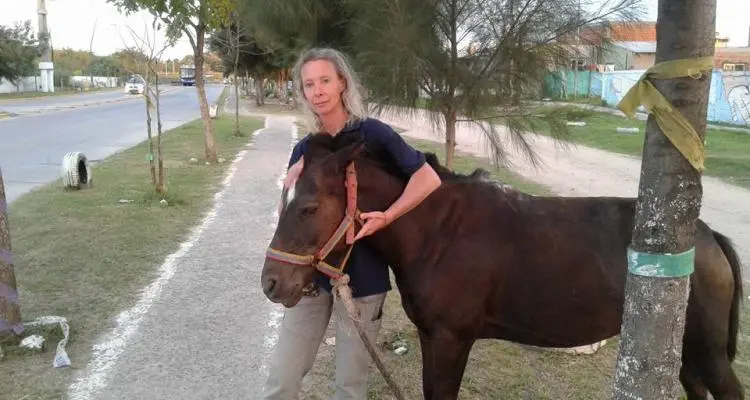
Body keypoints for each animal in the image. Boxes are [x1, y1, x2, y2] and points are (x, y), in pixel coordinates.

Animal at [261, 131, 744, 399]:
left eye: (307, 207)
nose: (271, 283)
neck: (437, 232)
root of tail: (708, 238)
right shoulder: (431, 336)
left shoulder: (452, 339)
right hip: (681, 348)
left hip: (706, 349)